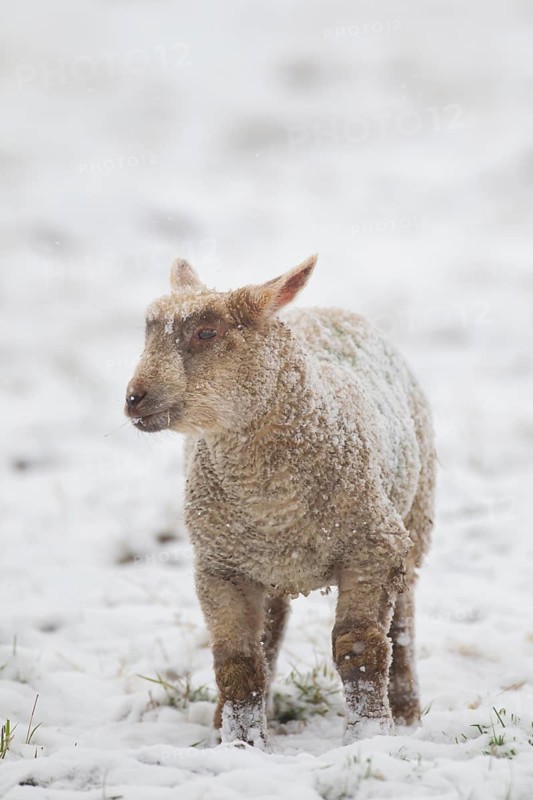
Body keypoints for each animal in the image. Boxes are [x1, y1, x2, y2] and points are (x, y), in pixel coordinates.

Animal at [125, 254, 435, 748]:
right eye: (148, 332)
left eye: (206, 333)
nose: (134, 399)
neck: (271, 503)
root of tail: (327, 309)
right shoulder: (219, 567)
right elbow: (237, 664)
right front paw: (240, 745)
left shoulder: (372, 548)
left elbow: (361, 648)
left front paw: (369, 736)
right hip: (260, 563)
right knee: (270, 632)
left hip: (415, 518)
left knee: (402, 625)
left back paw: (405, 713)